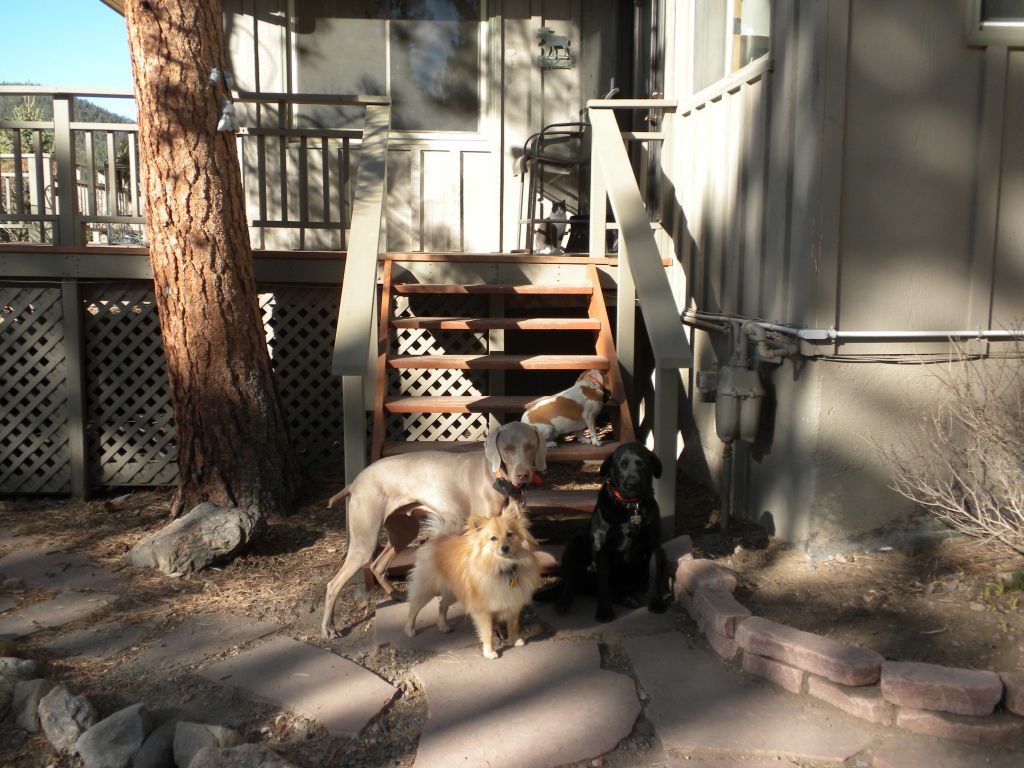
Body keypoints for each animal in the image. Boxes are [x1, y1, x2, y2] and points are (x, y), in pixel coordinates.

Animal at [321, 422, 546, 639]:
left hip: (404, 532)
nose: (523, 474)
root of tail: (355, 481)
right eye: (507, 448)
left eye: (530, 446)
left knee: (377, 565)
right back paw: (329, 628)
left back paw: (396, 595)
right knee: (333, 584)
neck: (495, 479)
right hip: (365, 541)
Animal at [404, 499, 541, 659]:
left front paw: (514, 640)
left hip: (452, 592)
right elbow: (488, 632)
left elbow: (513, 625)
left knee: (442, 605)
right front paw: (489, 651)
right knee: (414, 607)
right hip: (427, 589)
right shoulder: (484, 610)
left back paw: (443, 625)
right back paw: (409, 628)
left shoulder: (513, 604)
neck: (503, 568)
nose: (504, 547)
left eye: (510, 534)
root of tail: (438, 538)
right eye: (493, 538)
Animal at [552, 443, 669, 623]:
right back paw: (564, 602)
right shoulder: (602, 548)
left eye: (642, 464)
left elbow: (654, 575)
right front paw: (604, 611)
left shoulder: (654, 545)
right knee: (570, 582)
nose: (632, 484)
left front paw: (656, 602)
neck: (630, 508)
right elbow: (603, 583)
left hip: (661, 554)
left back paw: (627, 598)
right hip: (575, 543)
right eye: (622, 464)